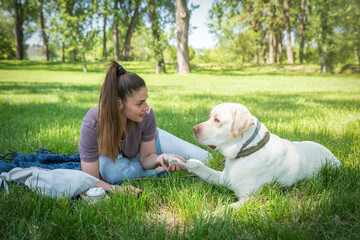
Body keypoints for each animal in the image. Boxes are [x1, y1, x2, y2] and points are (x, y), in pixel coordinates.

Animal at [163, 102, 340, 207]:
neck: (244, 153)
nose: (194, 128)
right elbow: (197, 165)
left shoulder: (248, 198)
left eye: (217, 120)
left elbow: (224, 209)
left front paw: (206, 216)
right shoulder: (222, 178)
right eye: (210, 116)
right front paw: (171, 160)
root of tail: (335, 157)